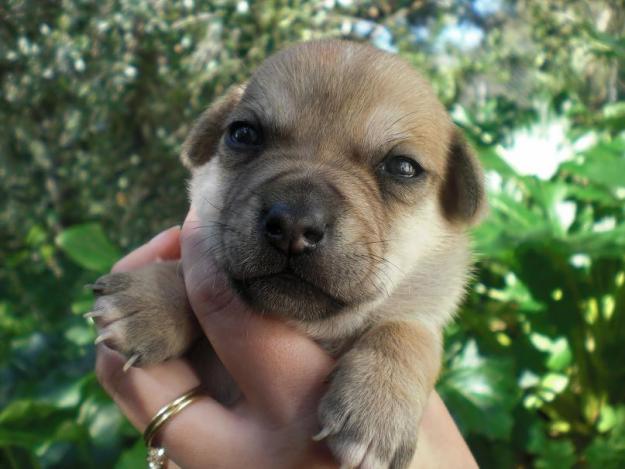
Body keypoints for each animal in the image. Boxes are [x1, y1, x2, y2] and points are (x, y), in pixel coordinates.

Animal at [90, 41, 486, 468]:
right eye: (243, 134)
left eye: (403, 167)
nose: (294, 225)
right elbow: (190, 268)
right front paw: (149, 303)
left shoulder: (425, 310)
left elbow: (408, 332)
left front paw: (379, 406)